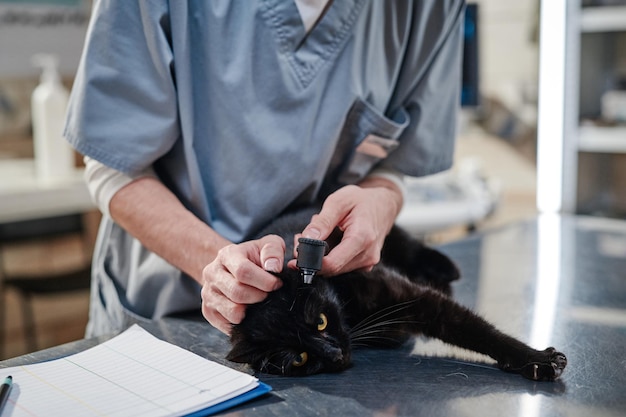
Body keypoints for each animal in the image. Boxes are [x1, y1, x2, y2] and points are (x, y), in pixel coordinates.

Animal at [225, 208, 564, 380]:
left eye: (320, 321)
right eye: (299, 358)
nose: (335, 355)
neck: (351, 310)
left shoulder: (414, 298)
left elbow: (479, 331)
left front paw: (537, 359)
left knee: (414, 246)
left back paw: (446, 268)